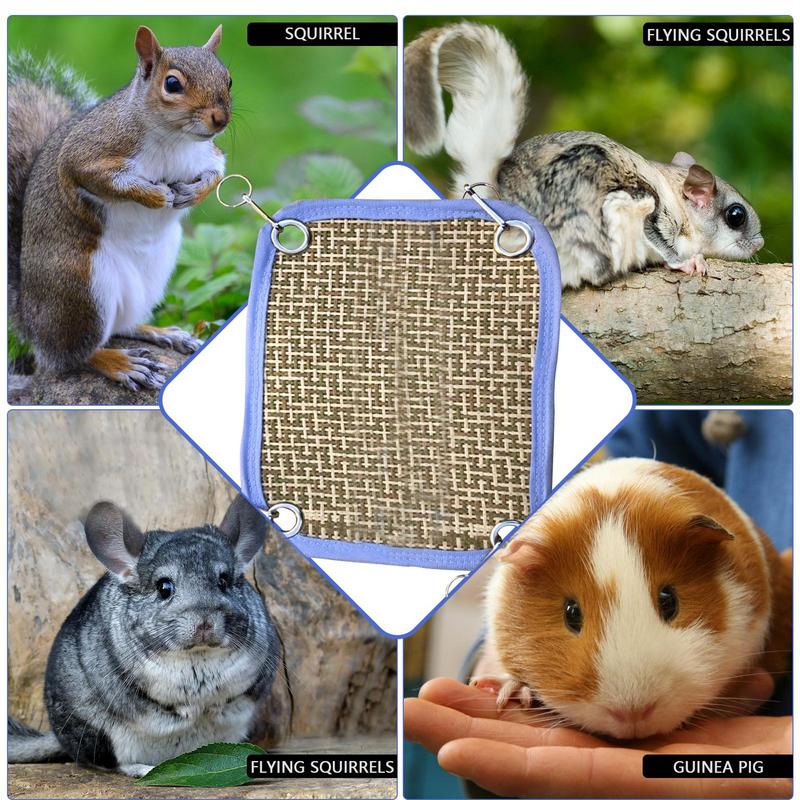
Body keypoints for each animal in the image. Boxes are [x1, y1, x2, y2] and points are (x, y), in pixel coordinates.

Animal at [8, 25, 231, 391]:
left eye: (228, 79)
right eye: (172, 84)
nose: (220, 119)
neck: (174, 139)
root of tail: (31, 320)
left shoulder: (207, 155)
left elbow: (217, 173)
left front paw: (193, 193)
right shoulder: (88, 153)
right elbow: (99, 178)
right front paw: (155, 197)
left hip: (153, 275)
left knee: (121, 325)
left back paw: (161, 332)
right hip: (82, 287)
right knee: (72, 356)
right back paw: (120, 363)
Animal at [404, 23, 764, 288]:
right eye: (736, 216)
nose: (759, 245)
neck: (678, 199)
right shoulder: (651, 213)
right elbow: (662, 245)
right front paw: (689, 262)